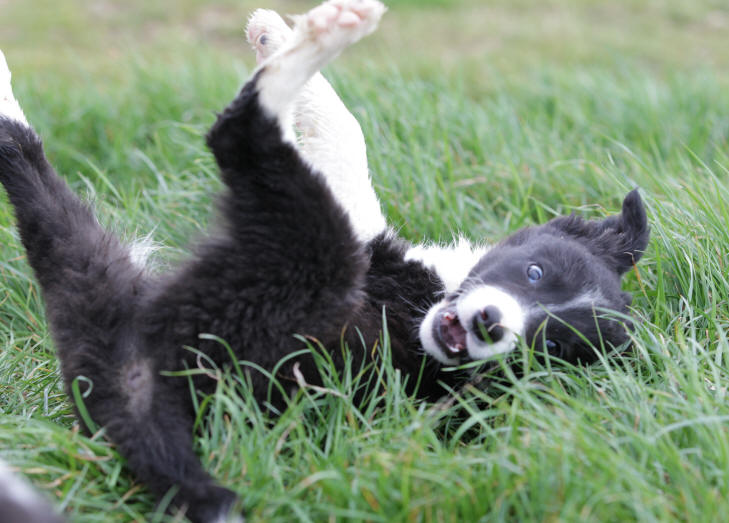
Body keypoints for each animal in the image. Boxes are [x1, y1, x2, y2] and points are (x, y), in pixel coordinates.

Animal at [0, 2, 648, 520]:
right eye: (536, 273)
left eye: (552, 348)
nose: (491, 325)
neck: (428, 302)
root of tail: (133, 392)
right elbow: (348, 132)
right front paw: (274, 37)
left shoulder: (364, 248)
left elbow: (342, 151)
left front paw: (277, 40)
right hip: (93, 278)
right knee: (28, 168)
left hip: (297, 263)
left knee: (237, 135)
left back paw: (323, 33)